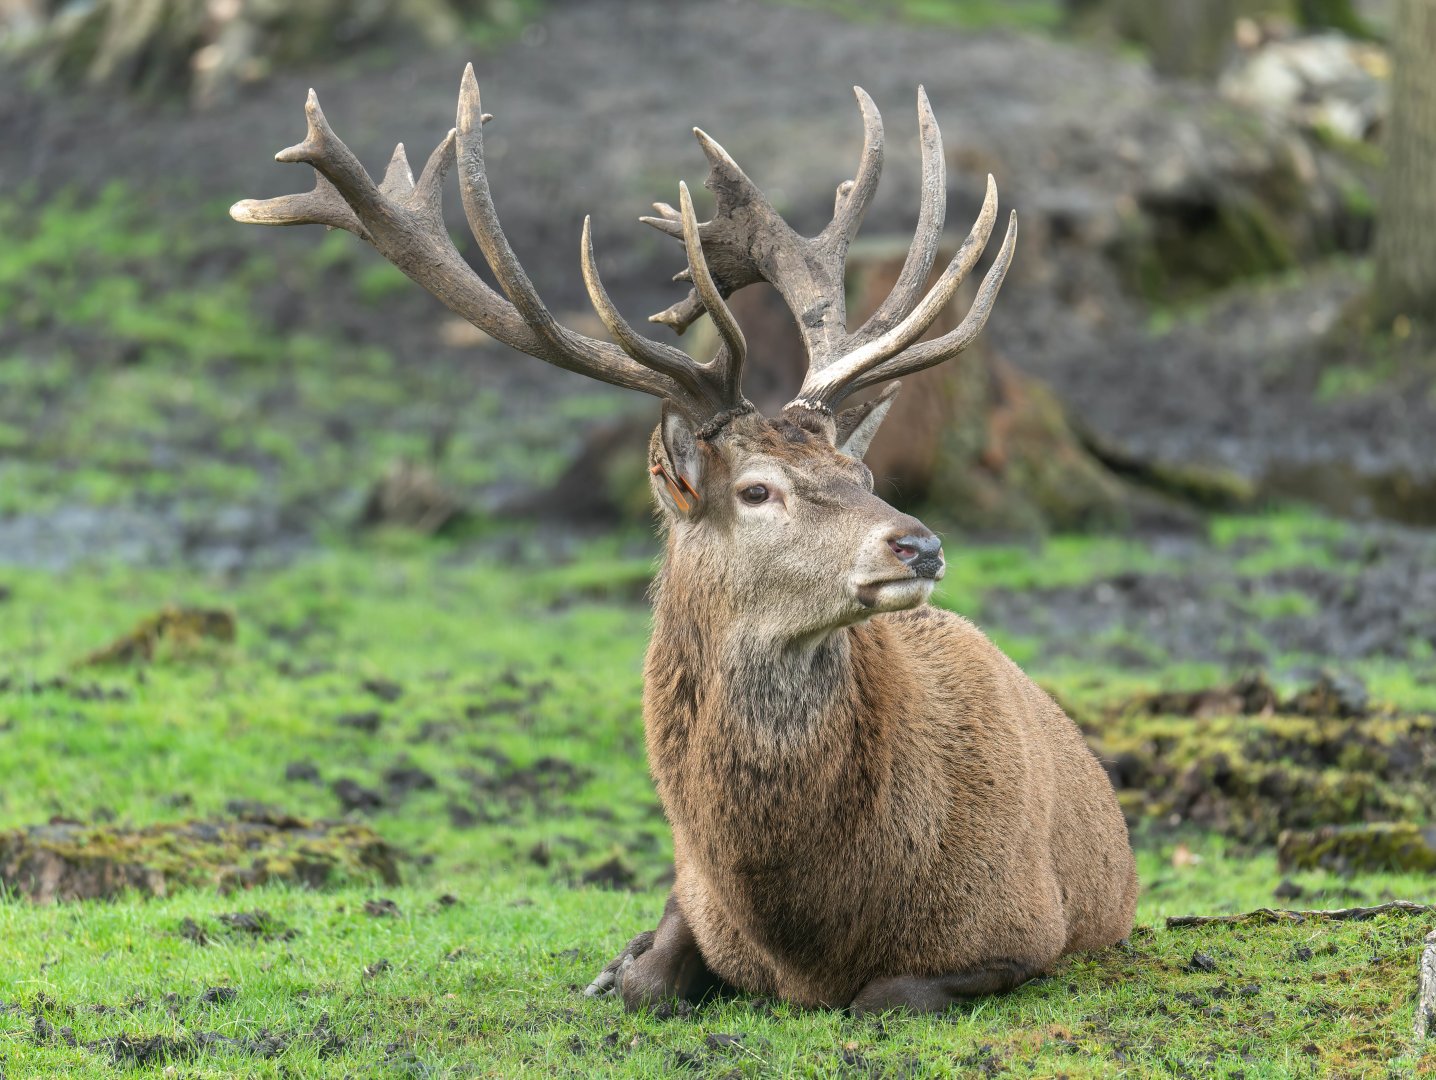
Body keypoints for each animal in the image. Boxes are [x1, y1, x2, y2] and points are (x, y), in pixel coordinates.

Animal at [232, 66, 1138, 1015]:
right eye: (757, 490)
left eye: (862, 474)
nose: (918, 546)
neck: (809, 928)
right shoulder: (694, 887)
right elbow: (647, 980)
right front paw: (619, 969)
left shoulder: (1024, 926)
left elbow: (885, 994)